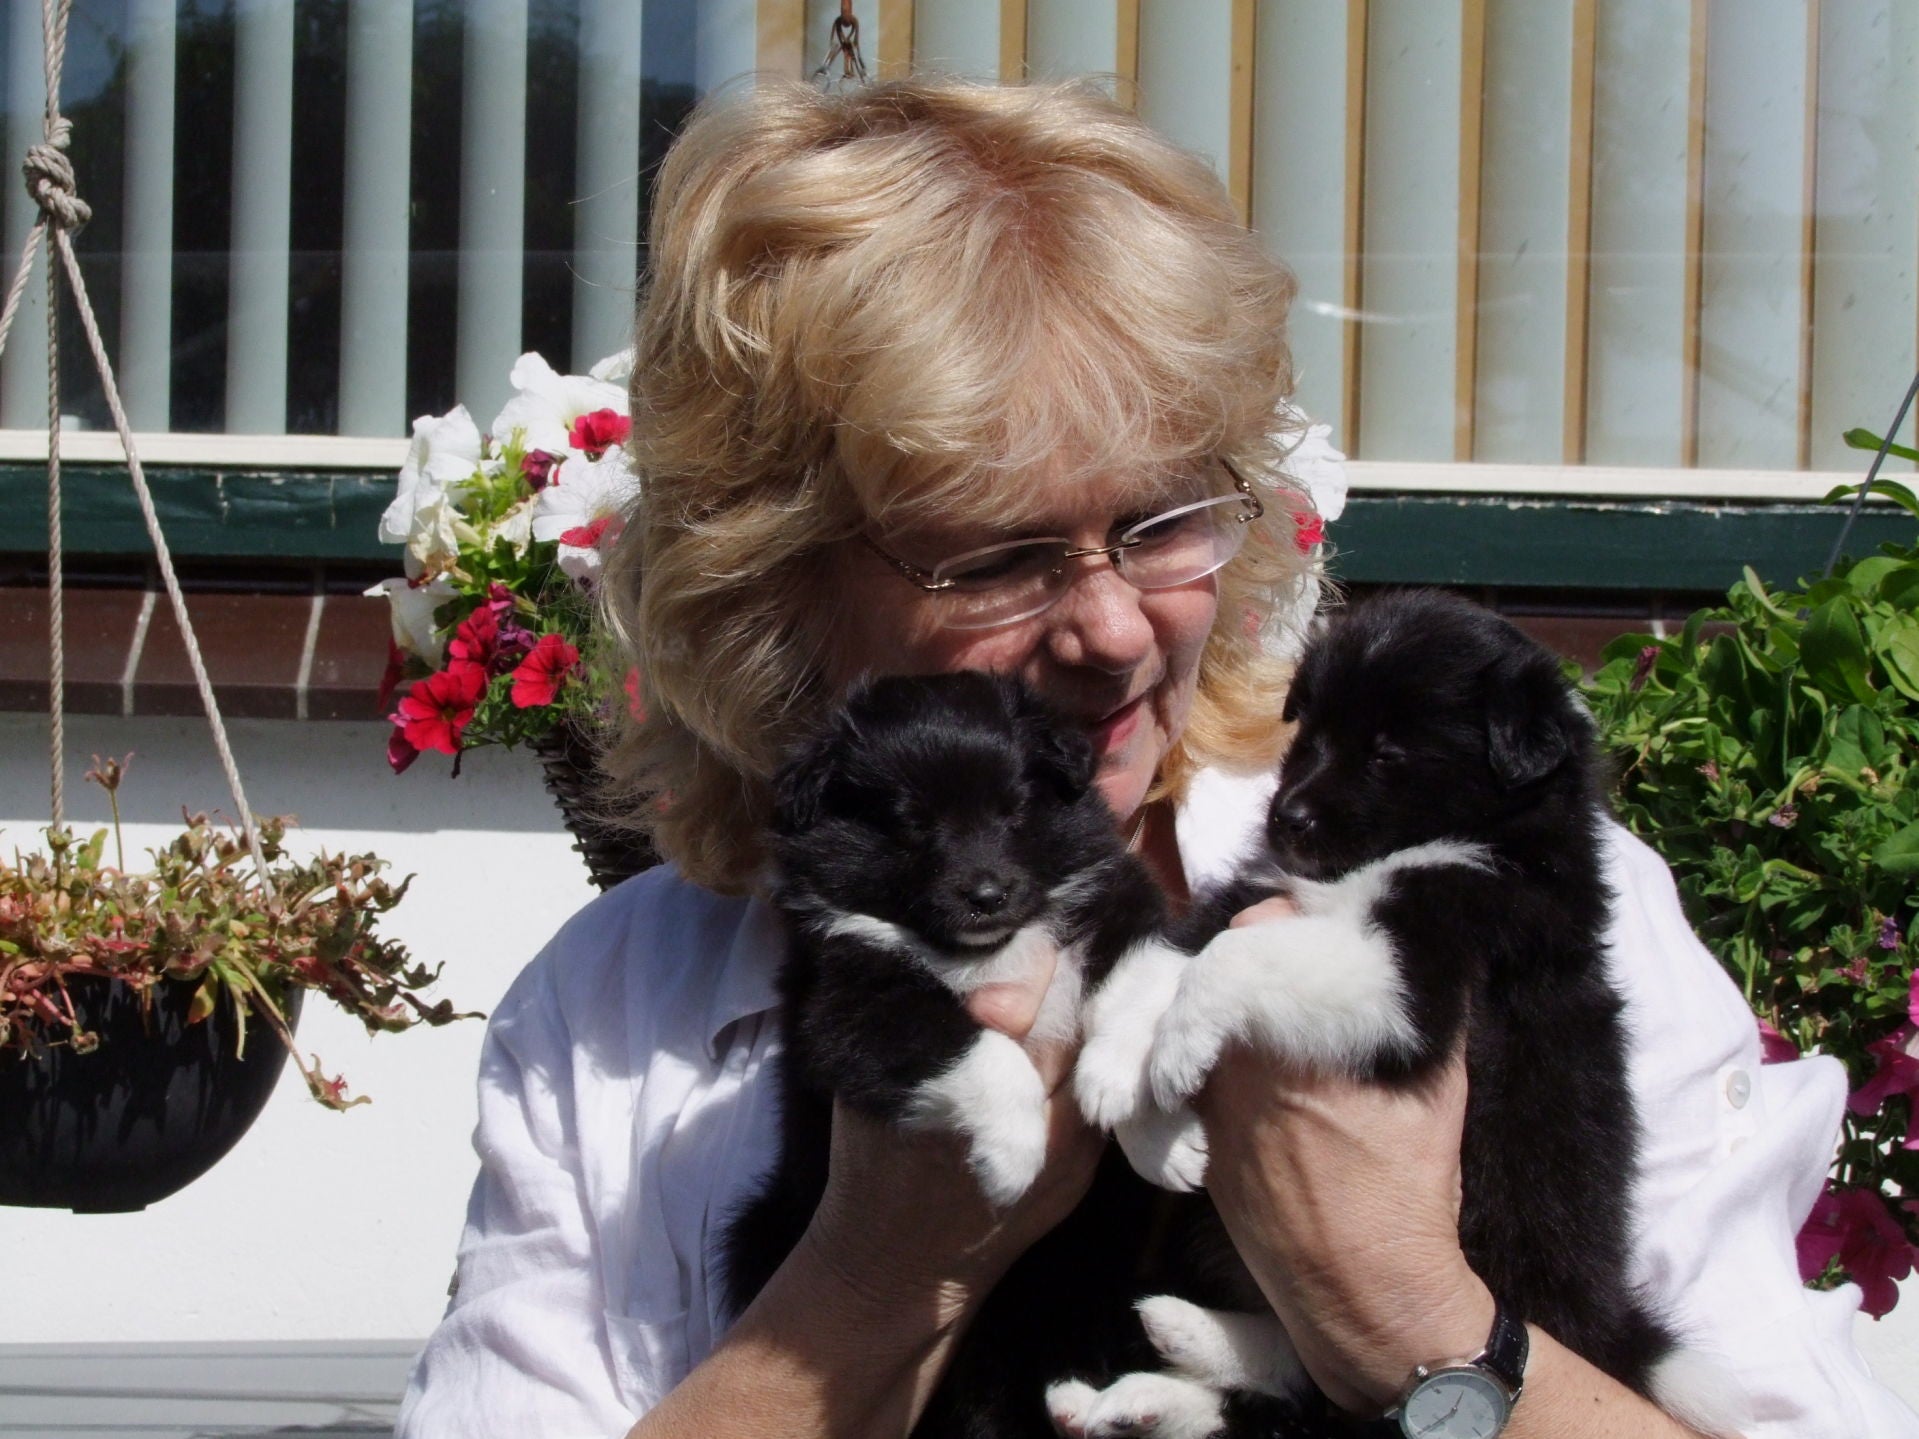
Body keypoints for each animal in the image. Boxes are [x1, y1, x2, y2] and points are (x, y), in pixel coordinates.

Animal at [1068, 590, 1735, 1438]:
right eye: (1309, 735)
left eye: (1388, 754)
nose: (1286, 818)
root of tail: (1597, 1315)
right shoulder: (1252, 890)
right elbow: (1158, 964)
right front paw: (1130, 1100)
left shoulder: (1413, 973)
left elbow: (1228, 959)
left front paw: (1178, 1051)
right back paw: (1145, 1376)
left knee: (1317, 1374)